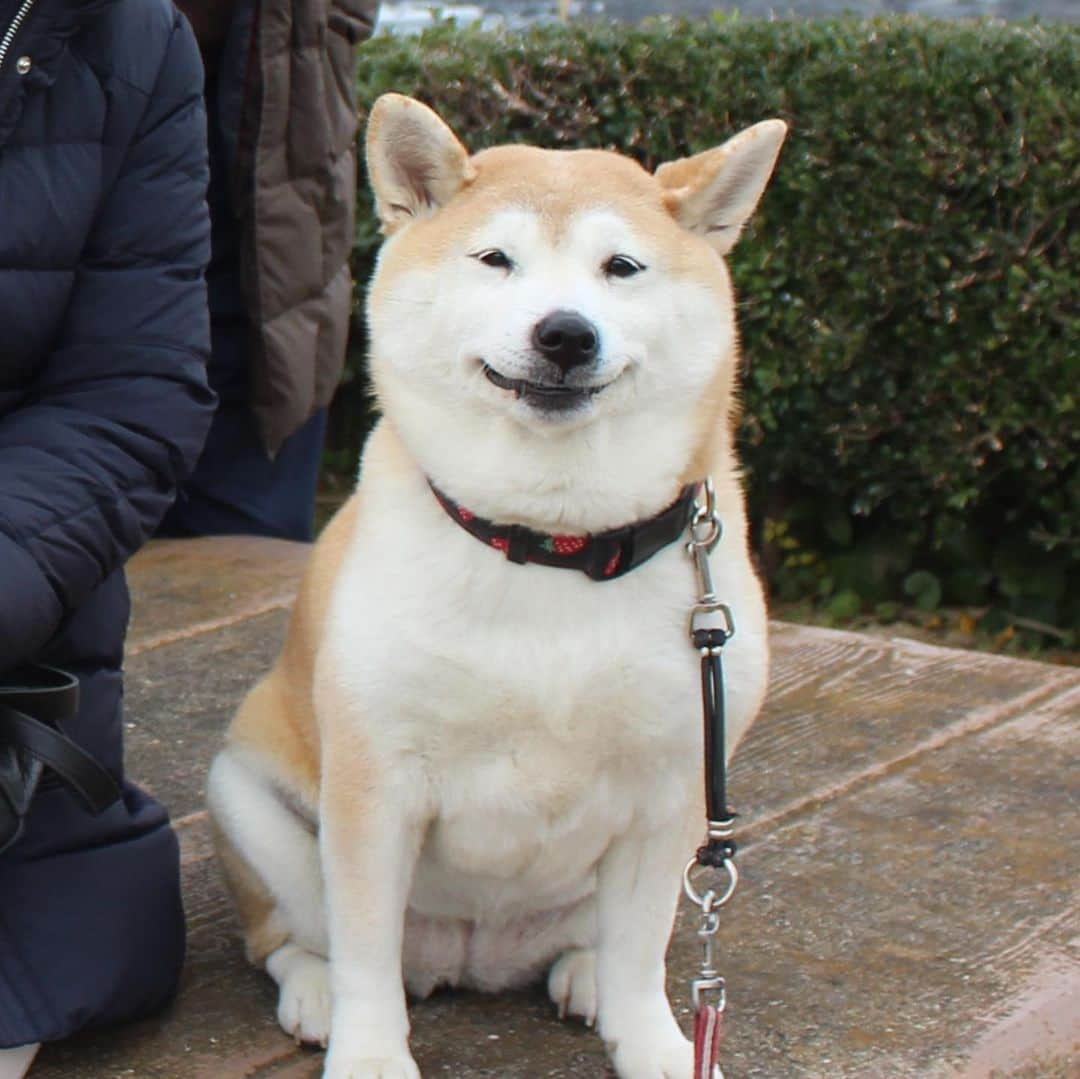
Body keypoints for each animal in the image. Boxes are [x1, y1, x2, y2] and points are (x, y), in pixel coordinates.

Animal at [208, 95, 786, 1079]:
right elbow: (365, 951)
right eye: (495, 259)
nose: (566, 332)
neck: (552, 543)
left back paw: (585, 972)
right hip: (248, 803)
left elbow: (643, 945)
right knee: (294, 936)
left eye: (621, 267)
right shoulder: (375, 783)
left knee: (610, 939)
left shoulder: (674, 788)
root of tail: (471, 958)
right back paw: (315, 988)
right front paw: (370, 1053)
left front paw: (654, 1041)